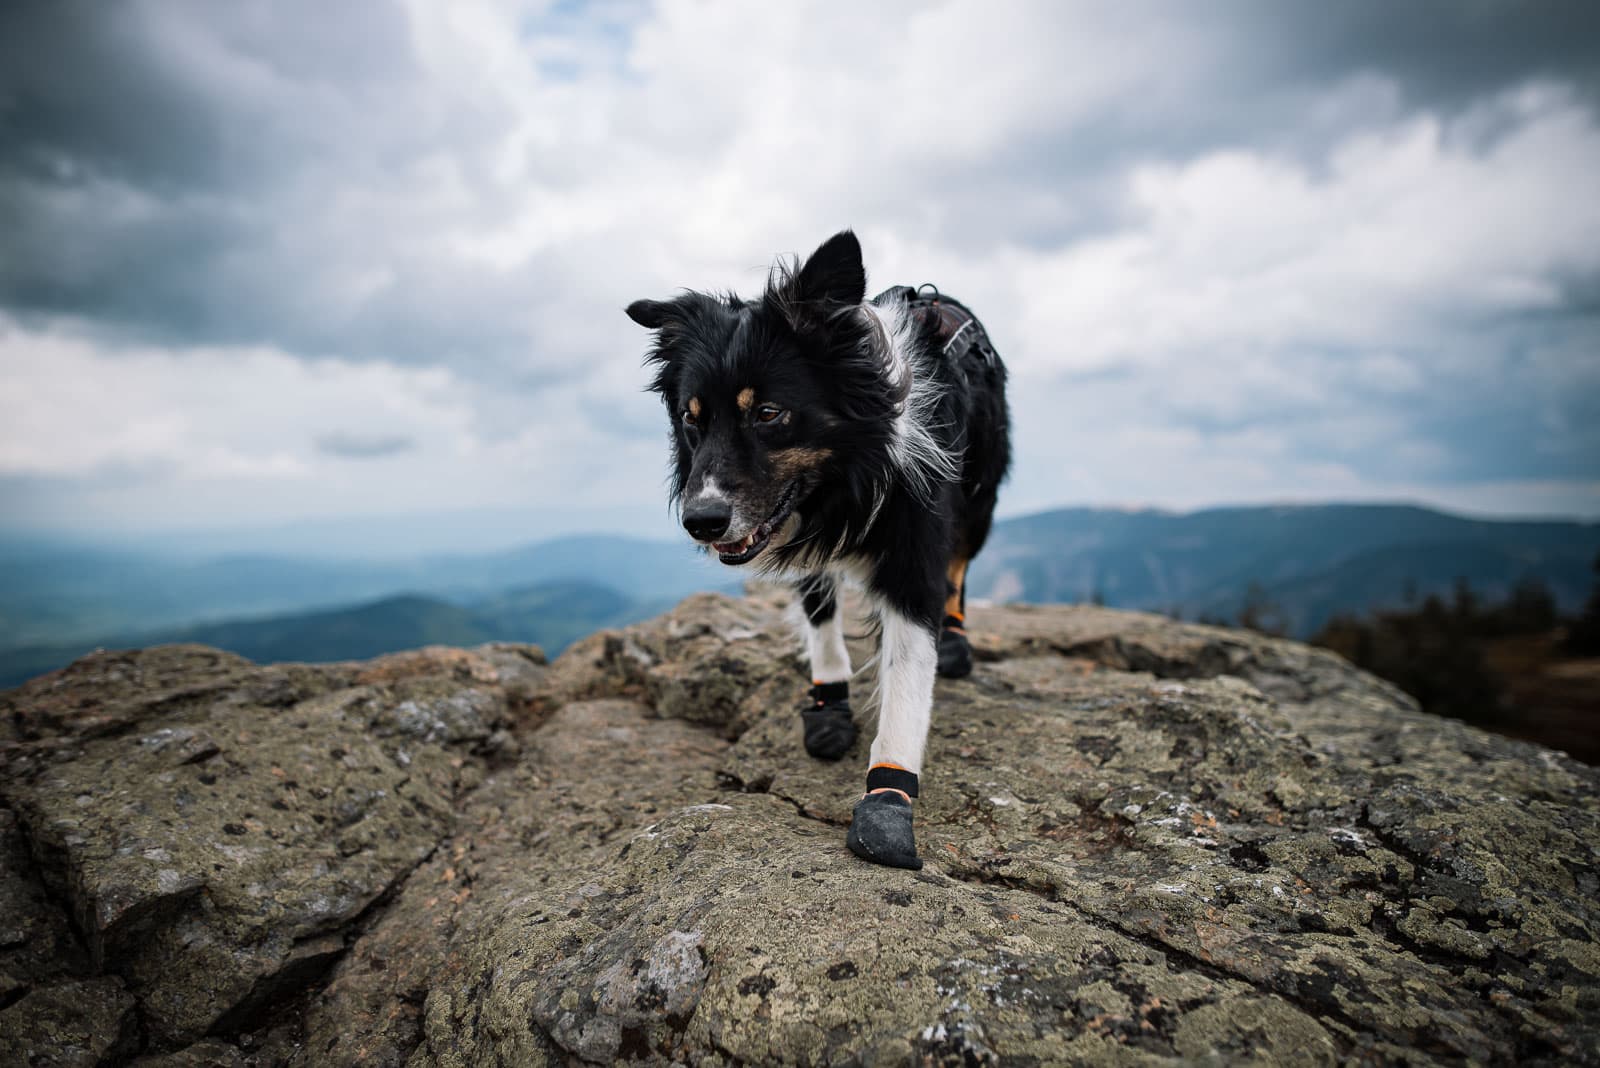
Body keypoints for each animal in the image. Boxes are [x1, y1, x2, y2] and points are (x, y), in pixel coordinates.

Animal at [627, 231, 1011, 869]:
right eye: (690, 417)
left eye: (767, 412)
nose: (700, 522)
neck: (845, 478)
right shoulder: (794, 528)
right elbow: (819, 612)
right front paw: (829, 700)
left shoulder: (915, 549)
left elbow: (908, 676)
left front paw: (888, 798)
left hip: (981, 490)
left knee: (962, 562)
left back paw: (957, 639)